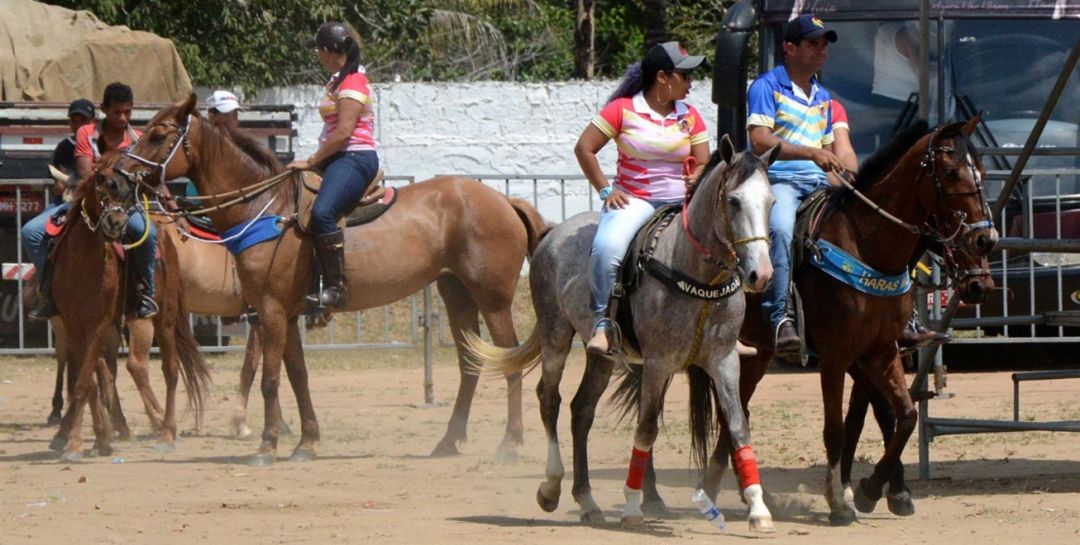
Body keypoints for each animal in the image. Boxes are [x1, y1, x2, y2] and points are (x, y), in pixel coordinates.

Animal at [50, 152, 211, 459]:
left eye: (127, 192)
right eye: (100, 186)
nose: (116, 223)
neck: (82, 264)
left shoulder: (98, 324)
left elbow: (85, 380)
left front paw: (76, 442)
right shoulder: (73, 324)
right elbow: (87, 379)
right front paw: (90, 438)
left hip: (163, 318)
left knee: (170, 369)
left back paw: (167, 432)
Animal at [111, 95, 548, 466]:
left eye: (158, 134)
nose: (117, 178)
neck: (265, 208)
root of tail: (505, 200)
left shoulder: (269, 313)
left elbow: (270, 379)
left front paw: (267, 446)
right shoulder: (285, 316)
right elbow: (298, 377)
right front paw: (306, 442)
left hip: (493, 301)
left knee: (510, 362)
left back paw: (509, 444)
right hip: (457, 295)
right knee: (470, 366)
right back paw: (447, 442)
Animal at [468, 135, 781, 530]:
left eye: (771, 202)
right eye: (734, 201)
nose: (761, 274)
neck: (696, 275)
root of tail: (551, 233)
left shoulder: (724, 361)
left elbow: (738, 426)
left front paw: (758, 508)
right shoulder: (659, 362)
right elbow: (646, 429)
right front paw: (632, 506)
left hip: (601, 356)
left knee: (581, 410)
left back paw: (587, 501)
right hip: (556, 334)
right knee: (550, 400)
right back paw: (551, 488)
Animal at [730, 118, 997, 522]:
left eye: (981, 169)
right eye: (952, 173)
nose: (986, 239)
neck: (866, 248)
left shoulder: (880, 352)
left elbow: (901, 415)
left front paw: (877, 489)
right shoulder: (838, 358)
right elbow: (840, 427)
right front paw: (843, 499)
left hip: (756, 353)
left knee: (736, 412)